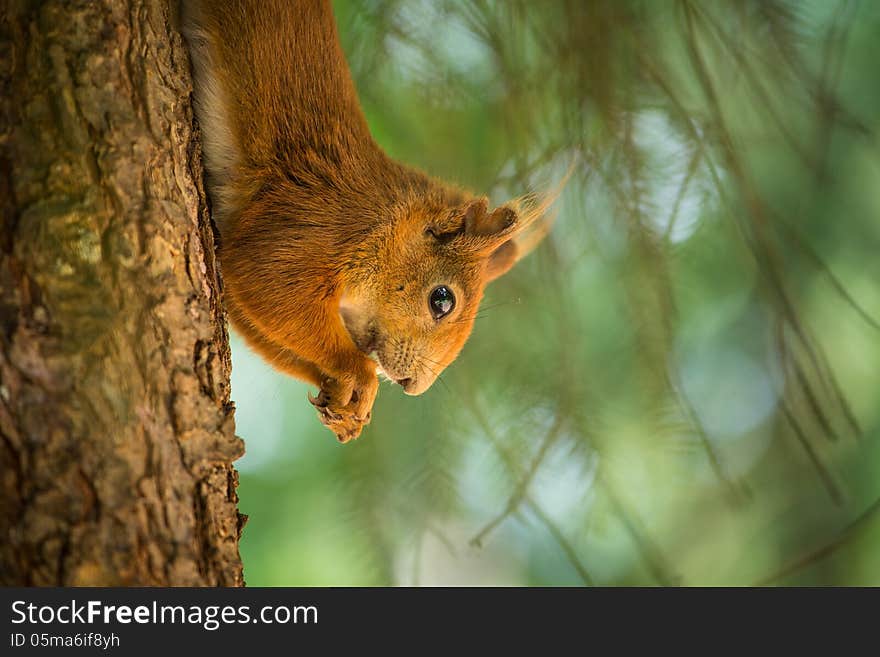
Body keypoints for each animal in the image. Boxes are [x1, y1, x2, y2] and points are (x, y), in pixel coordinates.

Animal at [180, 1, 552, 440]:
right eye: (442, 300)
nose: (412, 386)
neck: (384, 223)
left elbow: (255, 322)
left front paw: (346, 404)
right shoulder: (311, 225)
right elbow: (271, 287)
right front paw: (360, 374)